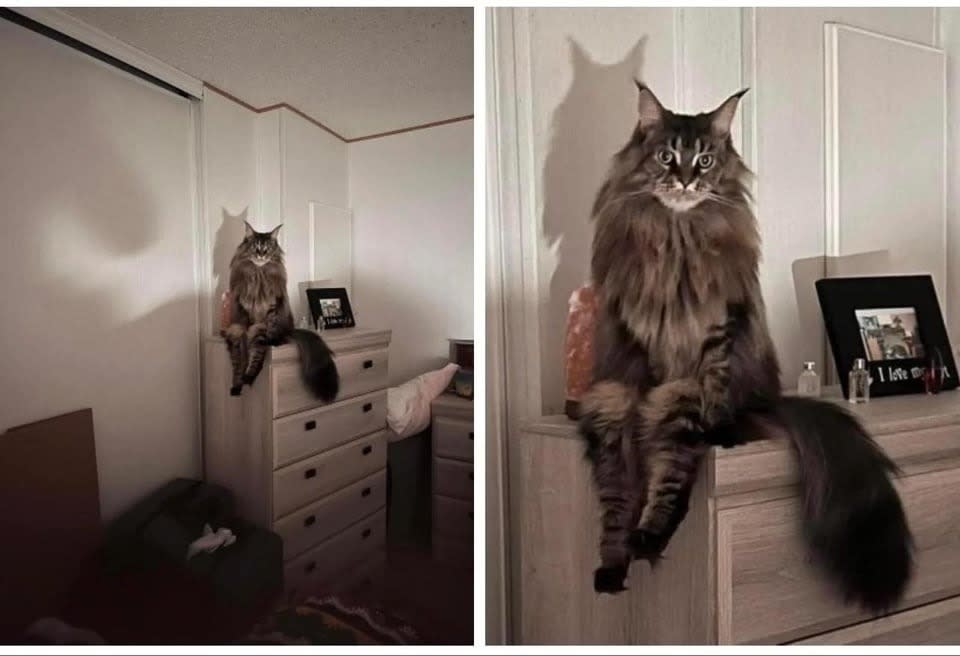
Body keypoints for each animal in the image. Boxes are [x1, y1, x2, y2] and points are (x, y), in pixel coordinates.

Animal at [223, 223, 340, 402]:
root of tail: (290, 329)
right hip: (234, 332)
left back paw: (249, 376)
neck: (258, 273)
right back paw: (237, 385)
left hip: (260, 331)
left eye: (268, 248)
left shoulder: (271, 307)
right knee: (237, 362)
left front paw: (270, 342)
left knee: (258, 354)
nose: (261, 255)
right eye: (255, 247)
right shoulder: (244, 312)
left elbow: (263, 341)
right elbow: (243, 344)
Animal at [580, 82, 912, 608]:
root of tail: (768, 400)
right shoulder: (643, 343)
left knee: (671, 471)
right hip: (609, 405)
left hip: (679, 401)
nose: (686, 181)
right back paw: (613, 566)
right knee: (616, 498)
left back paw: (648, 535)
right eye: (668, 155)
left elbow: (714, 383)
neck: (677, 237)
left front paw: (719, 428)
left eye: (706, 160)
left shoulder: (720, 324)